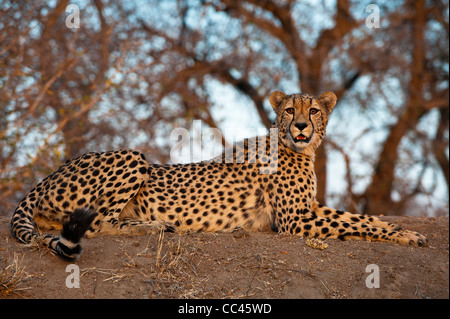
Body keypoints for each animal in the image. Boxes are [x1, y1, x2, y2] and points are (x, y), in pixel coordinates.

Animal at [8, 91, 428, 262]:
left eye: (313, 110)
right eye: (289, 110)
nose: (302, 126)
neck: (298, 148)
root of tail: (48, 175)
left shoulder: (307, 210)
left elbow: (363, 218)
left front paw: (406, 232)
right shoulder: (295, 220)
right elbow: (357, 222)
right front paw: (408, 236)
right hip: (132, 157)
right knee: (98, 224)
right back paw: (155, 226)